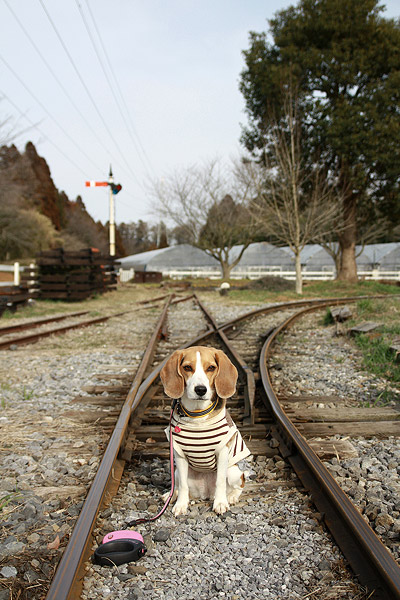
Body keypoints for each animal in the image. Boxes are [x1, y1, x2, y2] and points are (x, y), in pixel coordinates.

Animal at [159, 346, 250, 516]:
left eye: (211, 368)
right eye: (187, 367)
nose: (200, 390)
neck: (197, 415)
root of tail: (206, 493)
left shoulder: (222, 452)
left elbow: (220, 481)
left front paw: (220, 503)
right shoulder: (179, 455)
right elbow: (182, 486)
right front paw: (181, 504)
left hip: (233, 471)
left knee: (240, 484)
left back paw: (231, 497)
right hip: (177, 471)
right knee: (179, 485)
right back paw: (171, 495)